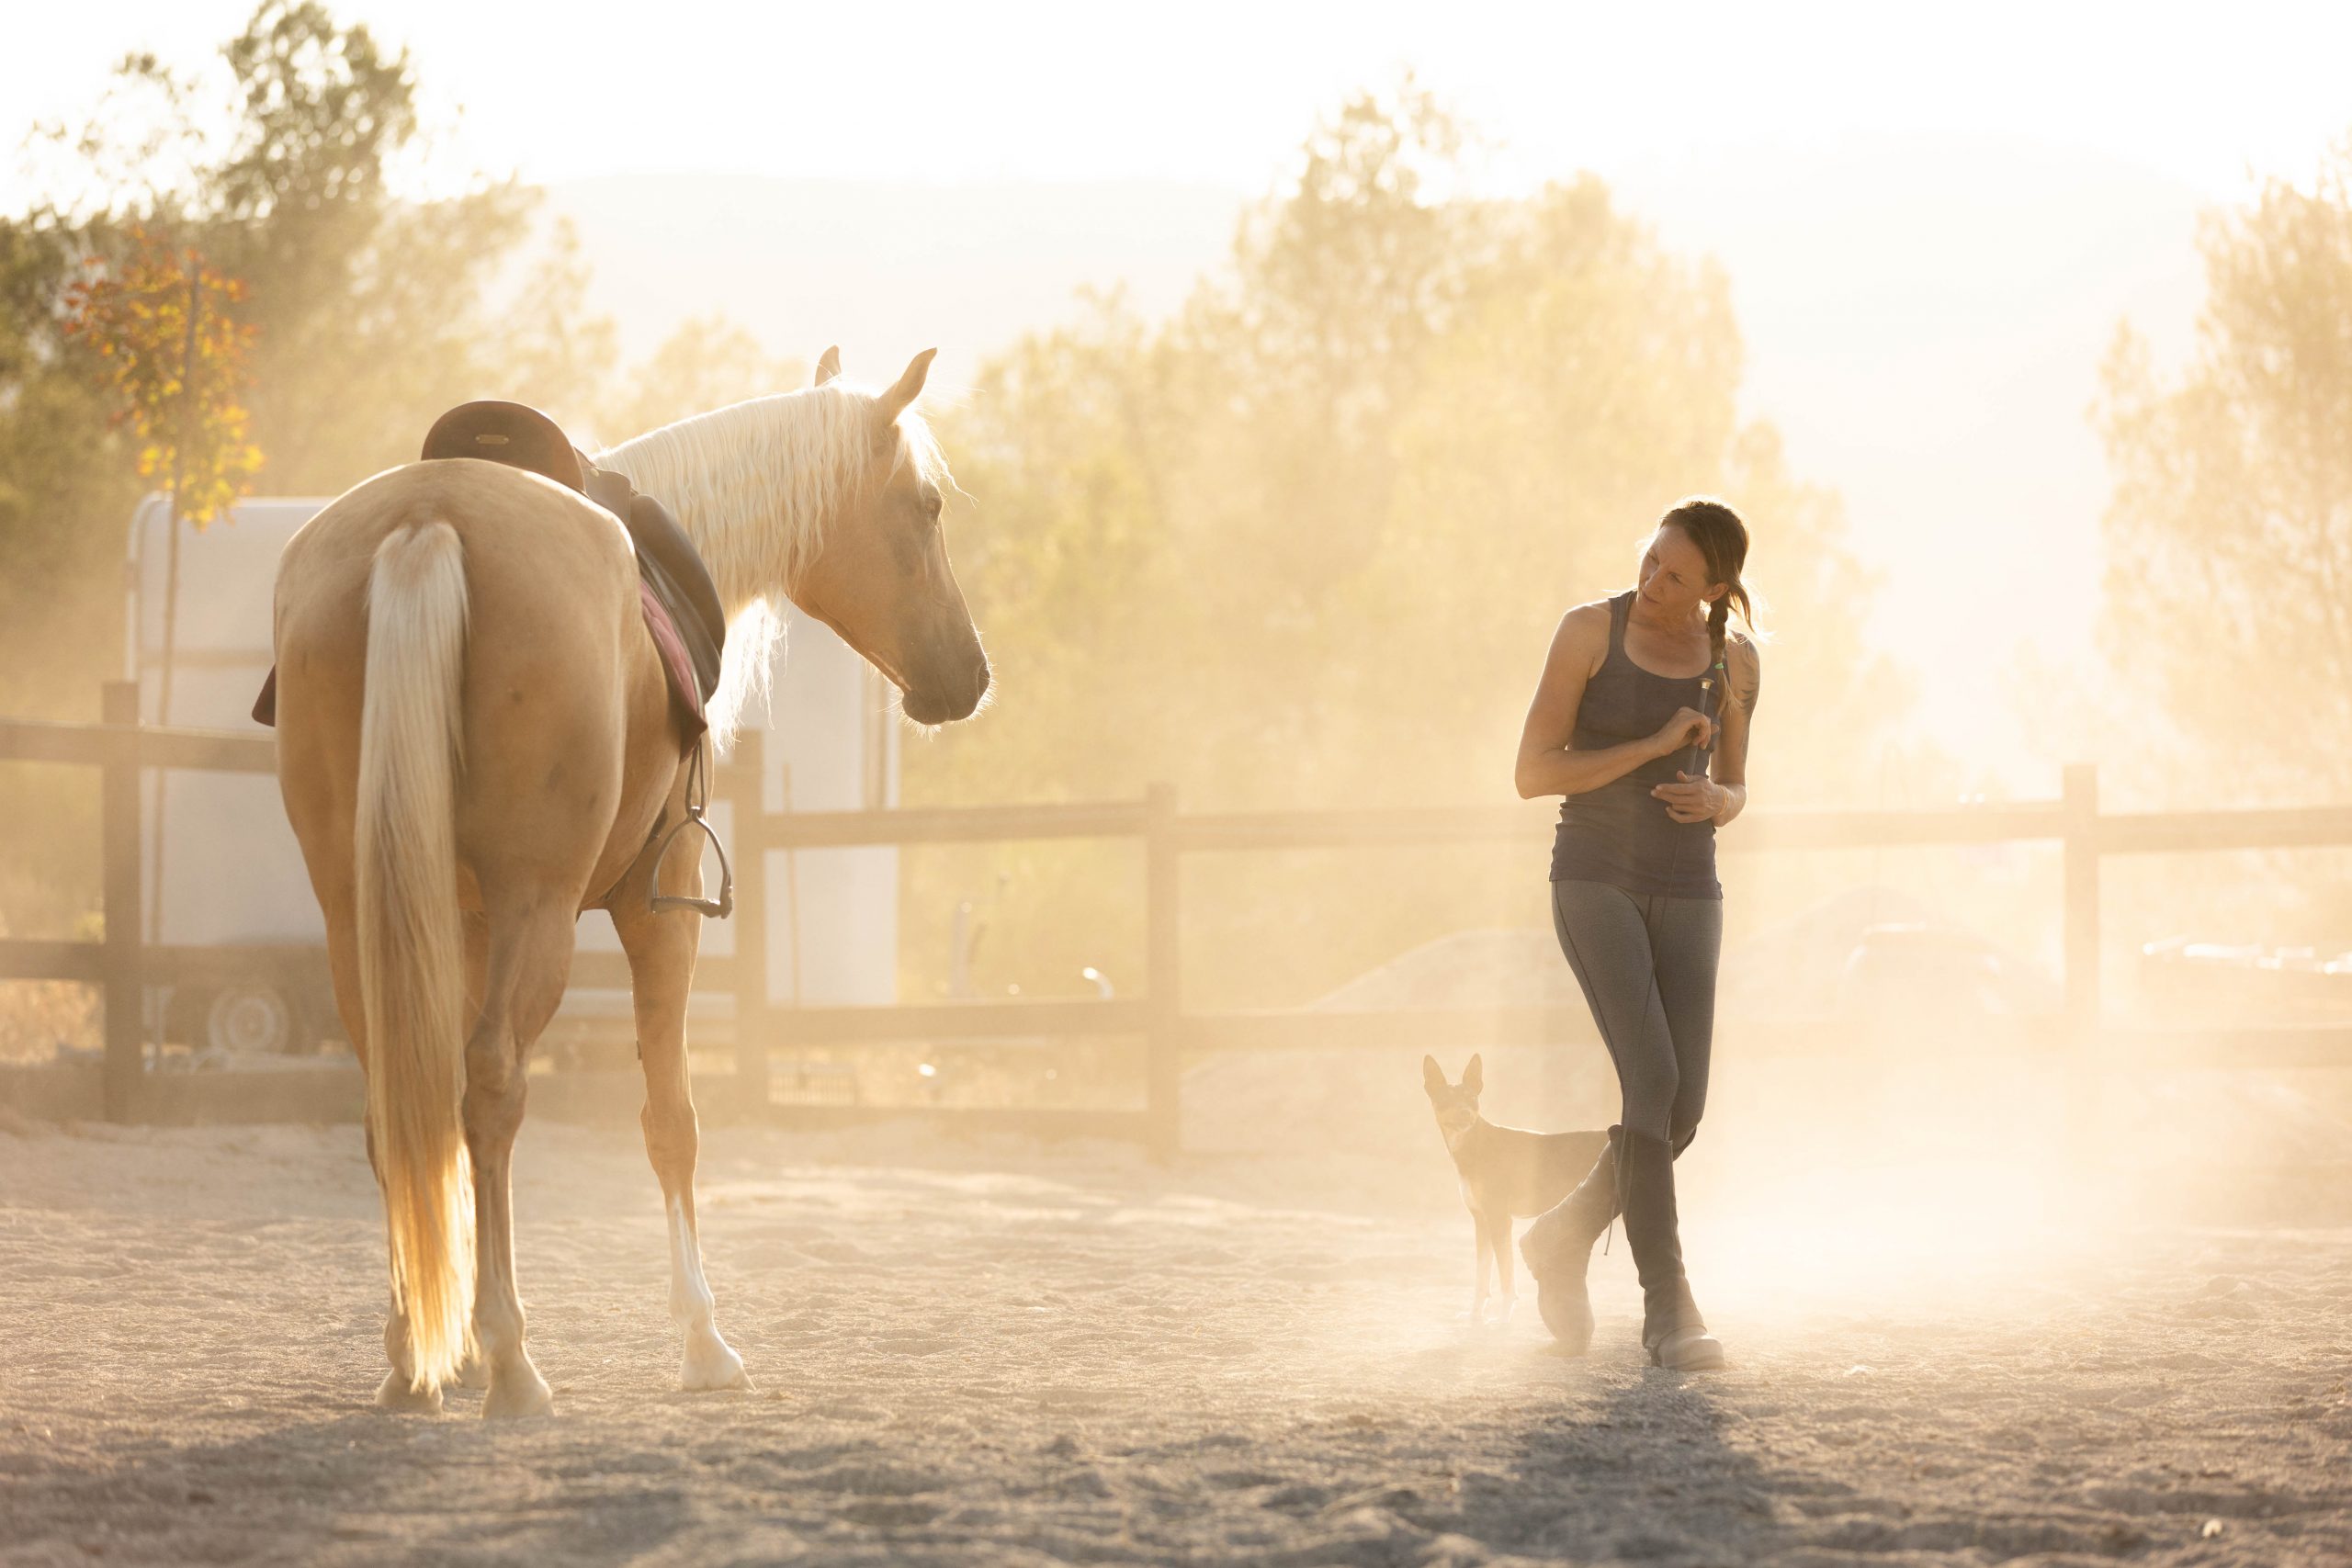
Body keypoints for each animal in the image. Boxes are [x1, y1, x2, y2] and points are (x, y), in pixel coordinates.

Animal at [269, 349, 988, 1417]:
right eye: (926, 506)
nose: (969, 676)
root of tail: (427, 523)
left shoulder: (461, 922)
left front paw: (452, 1344)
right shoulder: (664, 909)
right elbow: (670, 1121)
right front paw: (702, 1341)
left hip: (359, 911)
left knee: (399, 1099)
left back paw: (411, 1359)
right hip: (542, 910)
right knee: (492, 1084)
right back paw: (513, 1360)